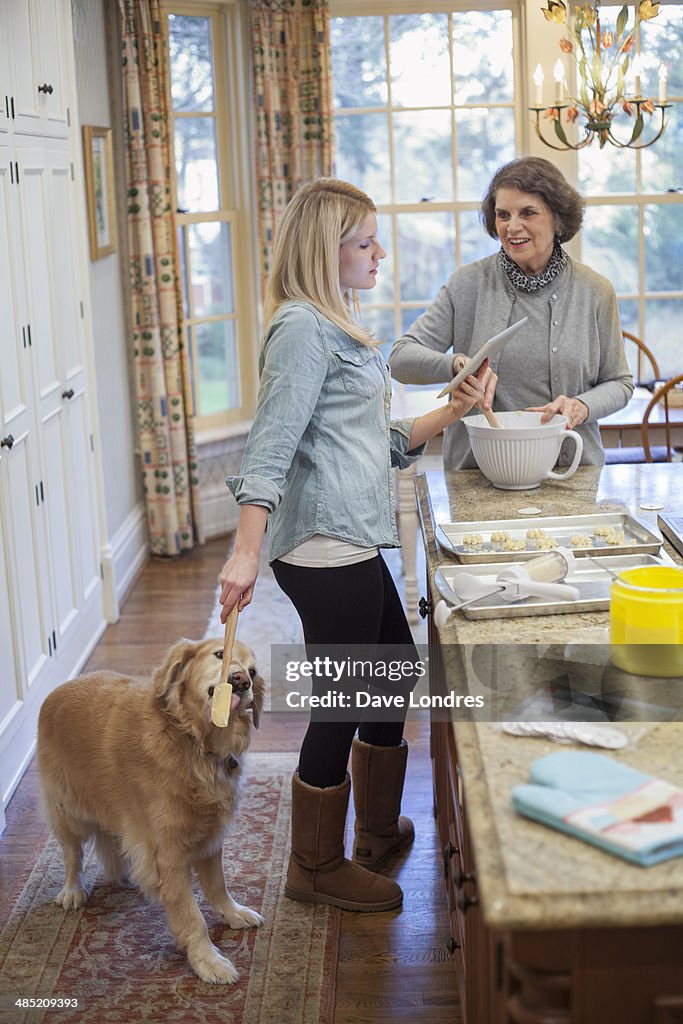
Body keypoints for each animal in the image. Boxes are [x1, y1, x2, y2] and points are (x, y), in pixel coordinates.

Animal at [36, 638, 266, 983]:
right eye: (220, 654)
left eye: (253, 671)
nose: (242, 681)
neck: (192, 740)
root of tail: (59, 690)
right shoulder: (168, 855)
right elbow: (192, 916)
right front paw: (207, 960)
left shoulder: (211, 836)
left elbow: (217, 885)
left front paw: (232, 912)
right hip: (68, 810)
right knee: (72, 854)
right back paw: (72, 889)